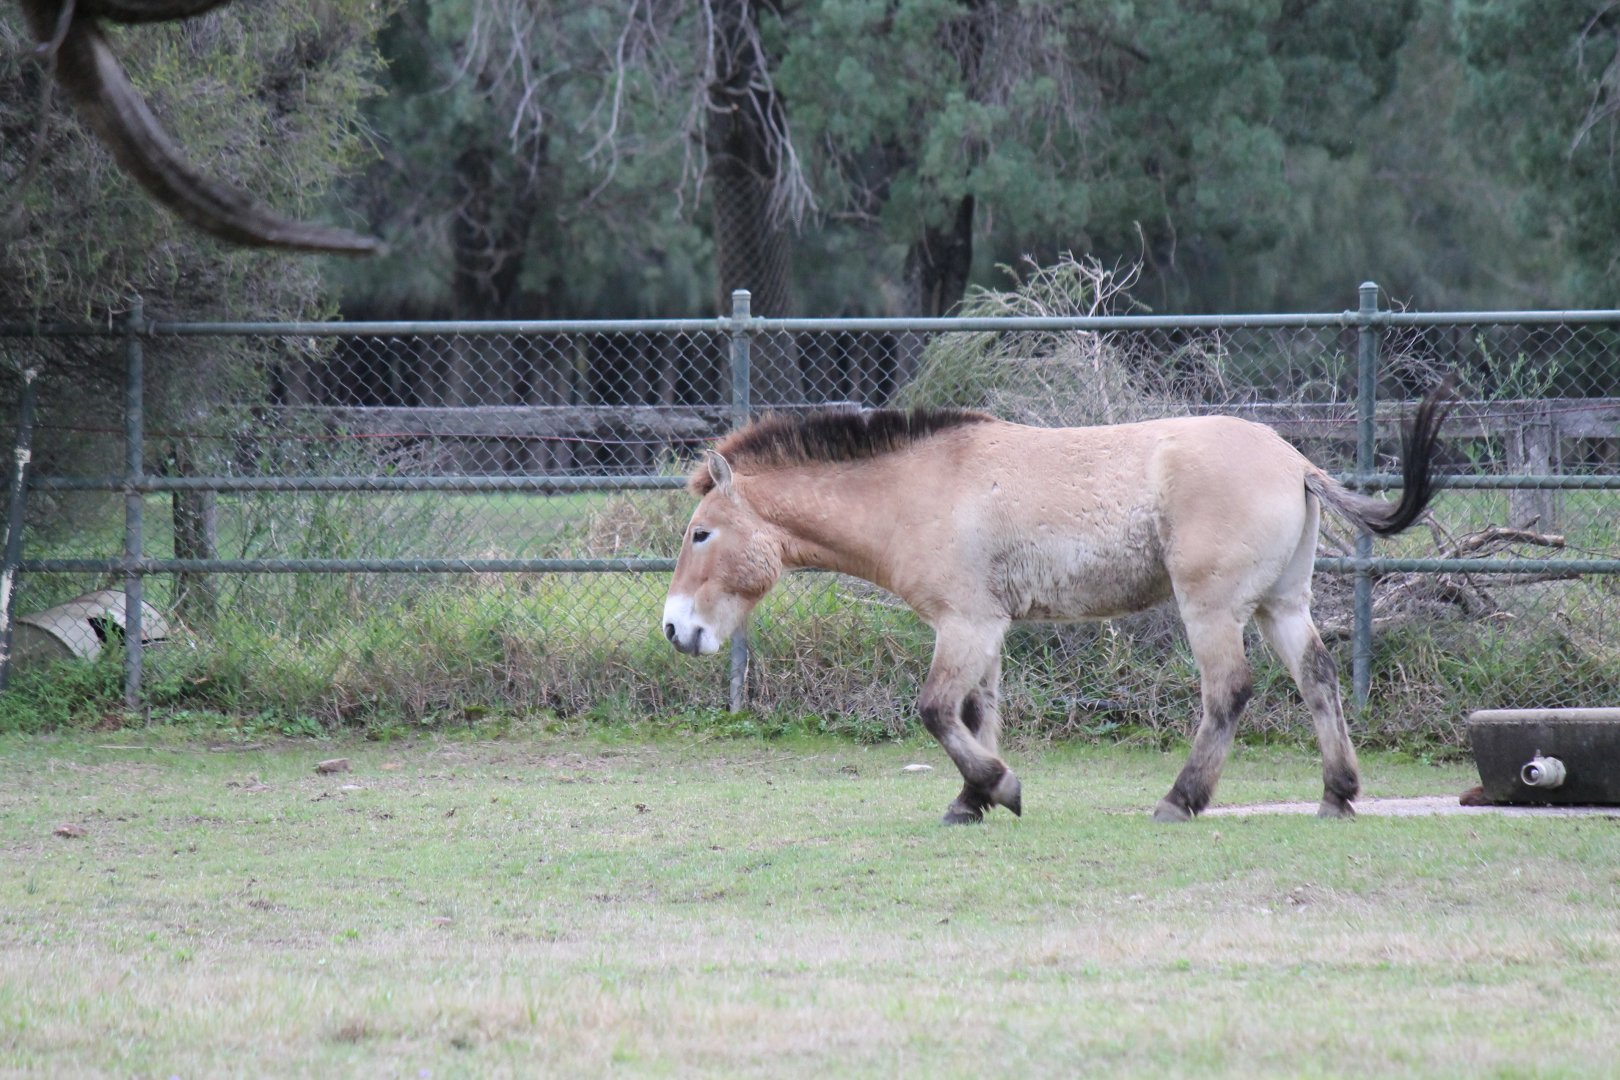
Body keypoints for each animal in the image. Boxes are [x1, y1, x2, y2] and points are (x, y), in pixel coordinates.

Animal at [662, 381, 1453, 824]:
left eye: (702, 532)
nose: (675, 628)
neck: (916, 491)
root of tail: (1297, 462)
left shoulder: (965, 626)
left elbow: (937, 712)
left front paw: (999, 788)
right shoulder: (986, 631)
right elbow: (977, 714)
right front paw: (971, 802)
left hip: (1213, 611)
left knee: (1228, 692)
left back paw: (1180, 800)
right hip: (1280, 606)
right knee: (1318, 681)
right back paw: (1337, 795)